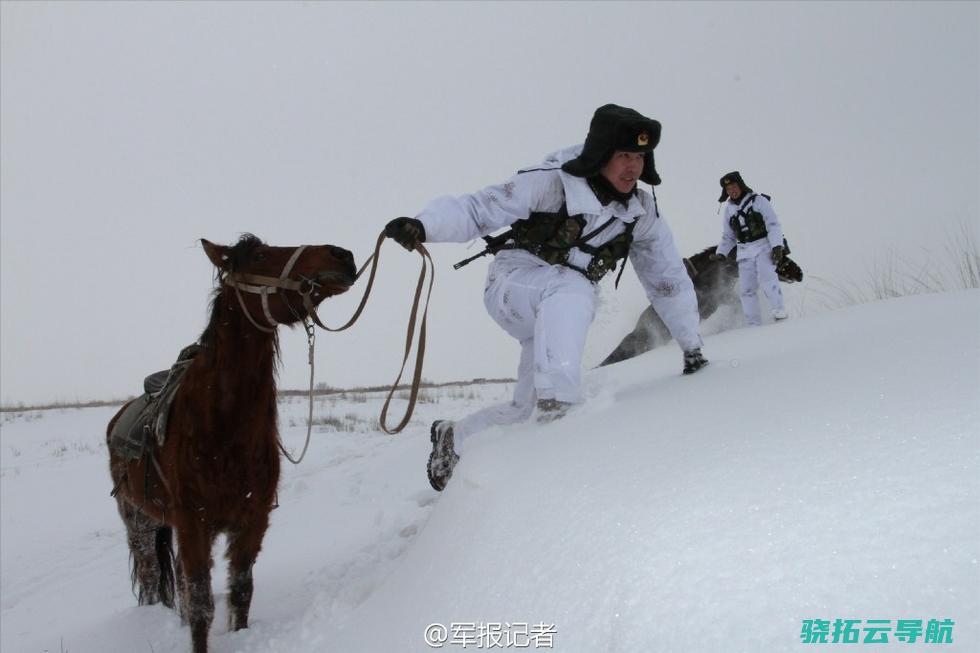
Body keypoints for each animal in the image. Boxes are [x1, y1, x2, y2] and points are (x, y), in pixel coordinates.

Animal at [107, 236, 356, 652]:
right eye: (259, 256)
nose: (342, 255)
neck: (223, 431)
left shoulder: (252, 520)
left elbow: (240, 591)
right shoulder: (194, 523)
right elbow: (201, 603)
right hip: (139, 521)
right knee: (150, 573)